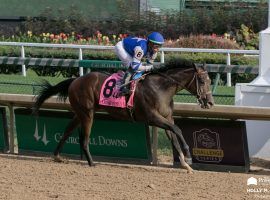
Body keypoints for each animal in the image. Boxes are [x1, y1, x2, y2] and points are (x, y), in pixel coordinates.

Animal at [32, 59, 213, 173]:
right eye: (203, 81)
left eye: (210, 81)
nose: (210, 103)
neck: (161, 88)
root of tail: (76, 80)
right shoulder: (152, 118)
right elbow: (178, 129)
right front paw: (188, 156)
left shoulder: (166, 118)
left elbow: (174, 136)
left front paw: (185, 165)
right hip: (87, 113)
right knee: (84, 138)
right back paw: (91, 162)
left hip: (80, 113)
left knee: (68, 130)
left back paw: (57, 156)